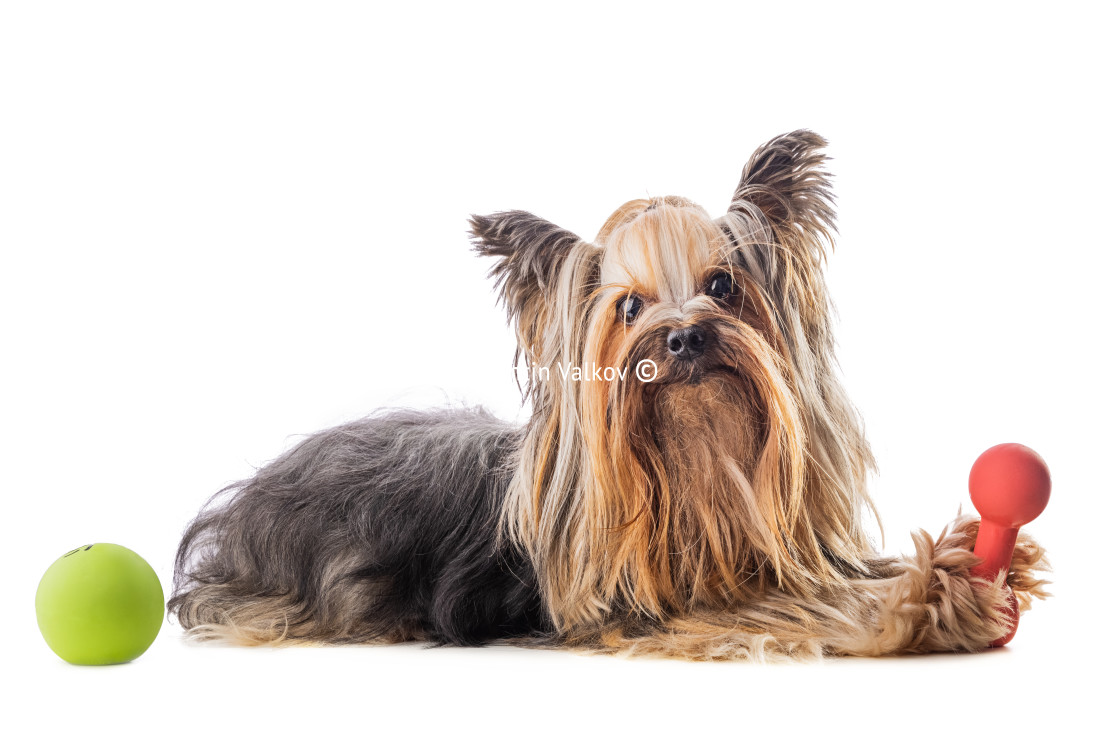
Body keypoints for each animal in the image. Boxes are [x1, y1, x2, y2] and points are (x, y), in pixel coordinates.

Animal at [168, 129, 1048, 658]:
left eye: (722, 285)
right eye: (628, 307)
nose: (683, 337)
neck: (703, 465)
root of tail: (244, 501)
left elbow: (841, 573)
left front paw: (975, 557)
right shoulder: (659, 609)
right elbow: (803, 609)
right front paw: (927, 600)